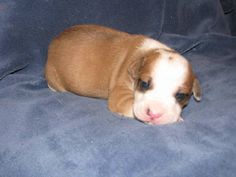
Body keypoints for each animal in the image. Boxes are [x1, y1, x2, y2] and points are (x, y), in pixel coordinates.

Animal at [44, 24, 201, 125]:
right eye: (144, 84)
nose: (154, 114)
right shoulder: (119, 96)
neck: (146, 53)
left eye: (180, 96)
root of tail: (53, 42)